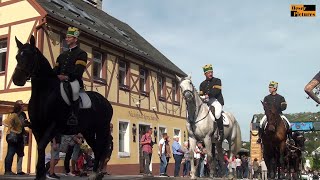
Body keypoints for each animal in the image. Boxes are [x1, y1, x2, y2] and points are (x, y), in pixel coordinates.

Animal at [13, 35, 113, 180]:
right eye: (17, 56)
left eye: (30, 55)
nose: (17, 79)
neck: (44, 93)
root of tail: (105, 101)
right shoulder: (37, 127)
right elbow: (40, 148)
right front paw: (40, 175)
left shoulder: (53, 126)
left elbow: (41, 146)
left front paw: (41, 173)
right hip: (87, 131)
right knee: (96, 147)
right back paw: (95, 173)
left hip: (101, 129)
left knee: (100, 148)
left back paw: (96, 173)